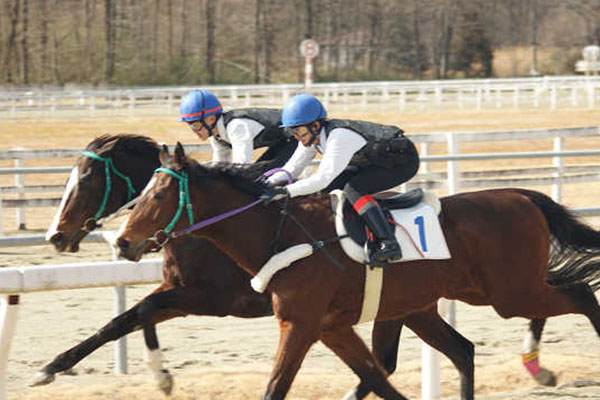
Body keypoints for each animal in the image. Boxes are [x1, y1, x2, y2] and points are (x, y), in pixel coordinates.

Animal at [38, 134, 418, 397]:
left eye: (86, 178)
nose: (55, 235)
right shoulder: (178, 290)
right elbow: (126, 319)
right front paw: (55, 365)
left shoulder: (210, 299)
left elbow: (139, 312)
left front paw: (160, 377)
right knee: (384, 361)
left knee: (383, 362)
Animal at [115, 142, 600, 400]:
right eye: (143, 192)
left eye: (159, 196)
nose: (122, 242)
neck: (280, 233)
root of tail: (520, 195)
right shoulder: (331, 327)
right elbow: (376, 379)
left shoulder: (300, 324)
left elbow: (278, 386)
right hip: (443, 300)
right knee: (464, 350)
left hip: (509, 291)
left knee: (580, 293)